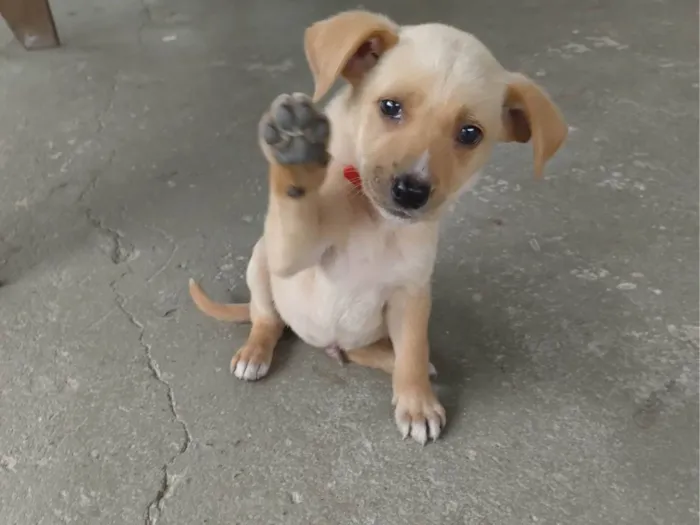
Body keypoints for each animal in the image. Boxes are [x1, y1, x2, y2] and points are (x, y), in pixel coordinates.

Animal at [189, 10, 568, 442]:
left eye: (470, 133)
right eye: (390, 107)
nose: (411, 191)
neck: (376, 221)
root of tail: (323, 342)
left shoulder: (412, 292)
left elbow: (414, 351)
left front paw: (417, 402)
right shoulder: (293, 253)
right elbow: (296, 202)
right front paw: (296, 149)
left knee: (367, 350)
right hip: (261, 264)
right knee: (265, 318)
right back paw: (255, 351)